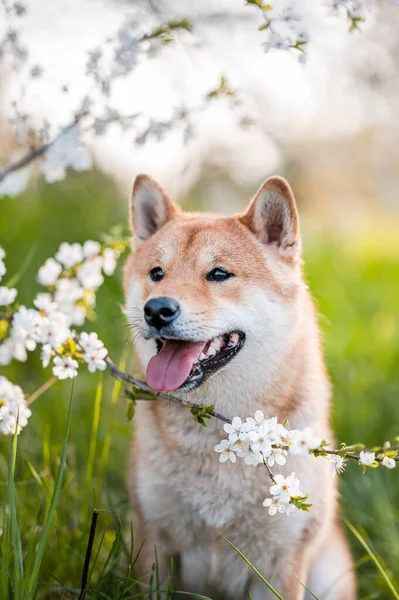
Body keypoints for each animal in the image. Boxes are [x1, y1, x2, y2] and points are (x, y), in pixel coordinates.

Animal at [123, 175, 358, 600]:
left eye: (218, 274)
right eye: (157, 273)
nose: (157, 310)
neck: (224, 433)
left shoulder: (282, 558)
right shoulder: (154, 540)